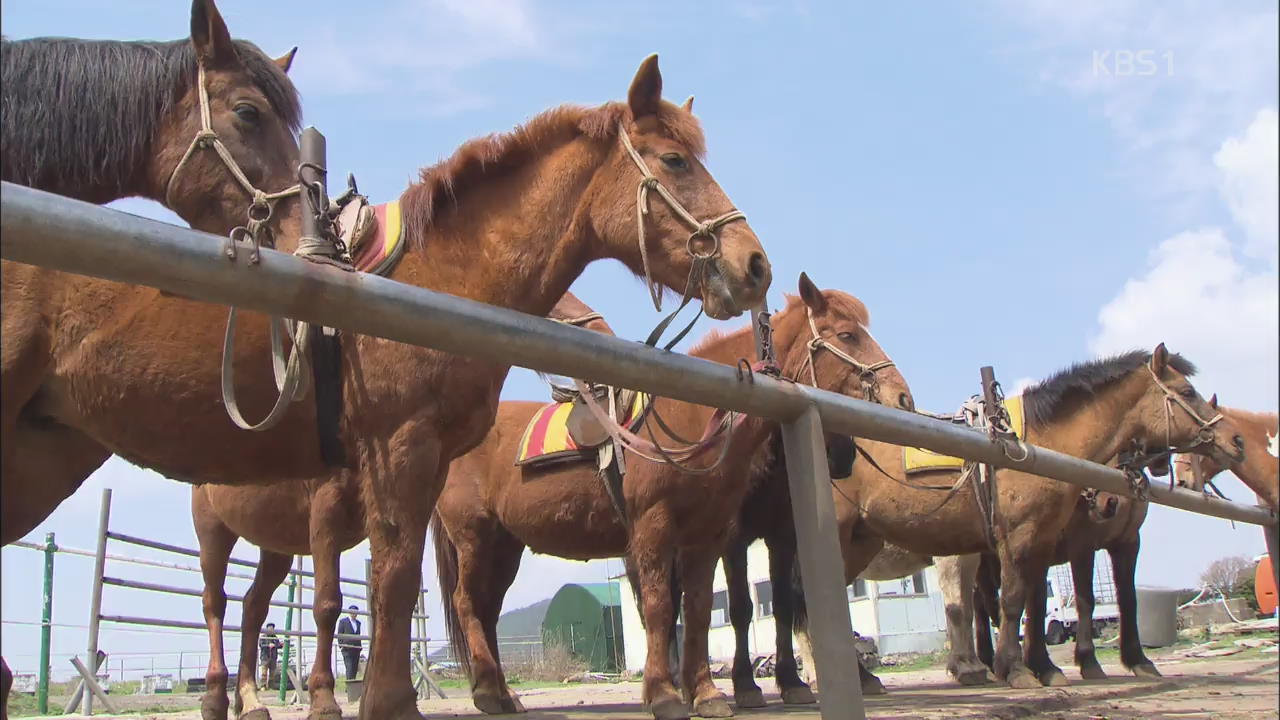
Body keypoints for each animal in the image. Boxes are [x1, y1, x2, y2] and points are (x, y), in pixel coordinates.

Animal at [186, 288, 606, 712]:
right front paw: (325, 698)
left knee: (252, 607)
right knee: (214, 603)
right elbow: (327, 604)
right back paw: (215, 697)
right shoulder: (325, 518)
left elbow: (384, 595)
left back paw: (250, 700)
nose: (600, 329)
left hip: (276, 549)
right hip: (213, 533)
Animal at [432, 271, 911, 712]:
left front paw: (705, 693)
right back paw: (490, 694)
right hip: (474, 538)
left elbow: (697, 609)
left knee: (488, 610)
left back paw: (499, 691)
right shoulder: (655, 528)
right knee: (467, 603)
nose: (903, 398)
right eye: (847, 335)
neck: (691, 415)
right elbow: (662, 608)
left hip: (504, 546)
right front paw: (664, 693)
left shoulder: (709, 536)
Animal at [793, 348, 1244, 691]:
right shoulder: (1020, 538)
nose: (1236, 440)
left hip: (859, 543)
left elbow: (1033, 603)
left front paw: (1036, 666)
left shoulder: (1044, 542)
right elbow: (1012, 602)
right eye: (1186, 392)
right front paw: (1016, 669)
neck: (1039, 447)